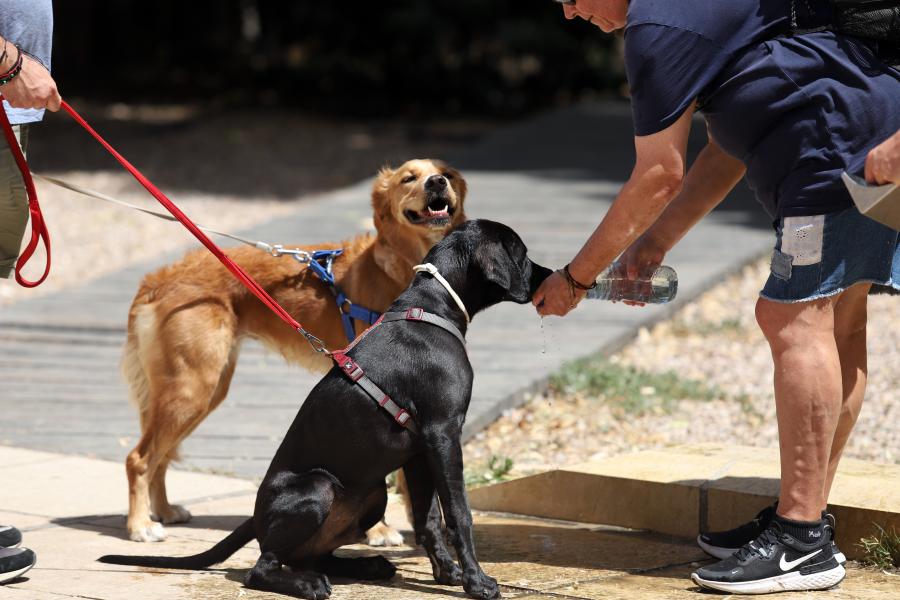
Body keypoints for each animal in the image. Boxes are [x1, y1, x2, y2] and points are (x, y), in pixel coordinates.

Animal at [96, 220, 548, 600]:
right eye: (522, 254)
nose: (548, 275)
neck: (431, 310)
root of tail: (255, 518)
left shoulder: (421, 450)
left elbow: (429, 520)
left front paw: (447, 574)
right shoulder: (443, 434)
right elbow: (458, 514)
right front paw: (477, 583)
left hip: (372, 493)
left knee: (311, 555)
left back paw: (366, 566)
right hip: (316, 485)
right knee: (261, 567)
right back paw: (309, 584)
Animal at [123, 159, 468, 544]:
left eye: (447, 174)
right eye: (409, 178)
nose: (436, 182)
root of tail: (159, 279)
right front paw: (378, 530)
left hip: (203, 391)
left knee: (160, 457)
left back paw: (165, 511)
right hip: (191, 388)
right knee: (139, 458)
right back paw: (140, 525)